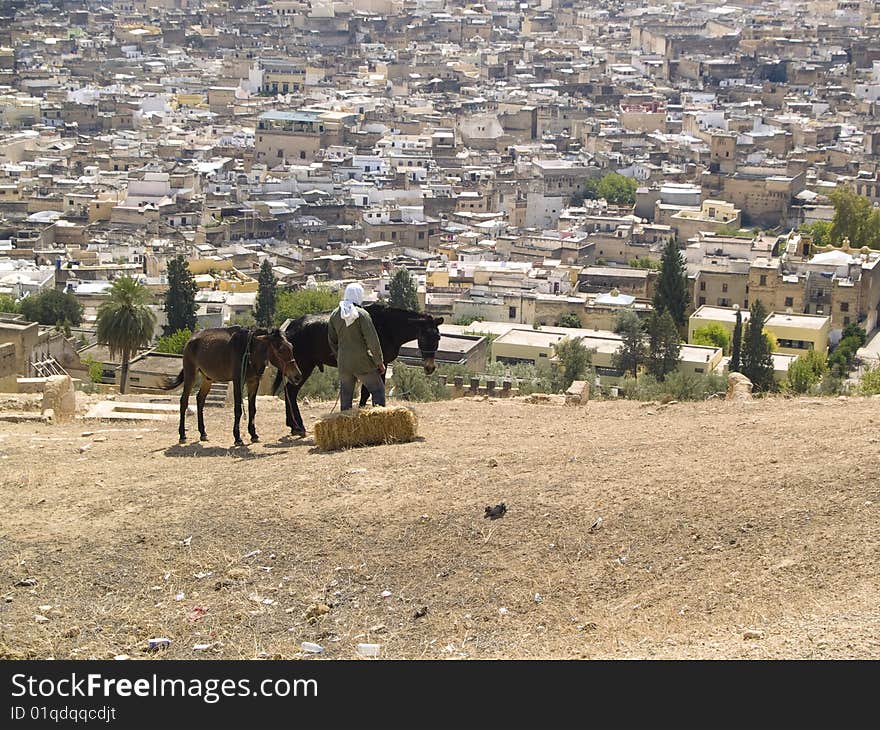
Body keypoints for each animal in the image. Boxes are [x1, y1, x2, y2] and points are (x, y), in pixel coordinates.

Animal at [164, 326, 302, 444]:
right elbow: (238, 409)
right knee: (184, 401)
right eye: (280, 350)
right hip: (190, 374)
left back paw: (203, 433)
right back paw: (182, 435)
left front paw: (253, 434)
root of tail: (191, 339)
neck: (249, 350)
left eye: (291, 347)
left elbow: (252, 408)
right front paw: (238, 437)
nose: (297, 375)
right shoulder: (238, 381)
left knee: (200, 399)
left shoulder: (254, 381)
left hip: (208, 378)